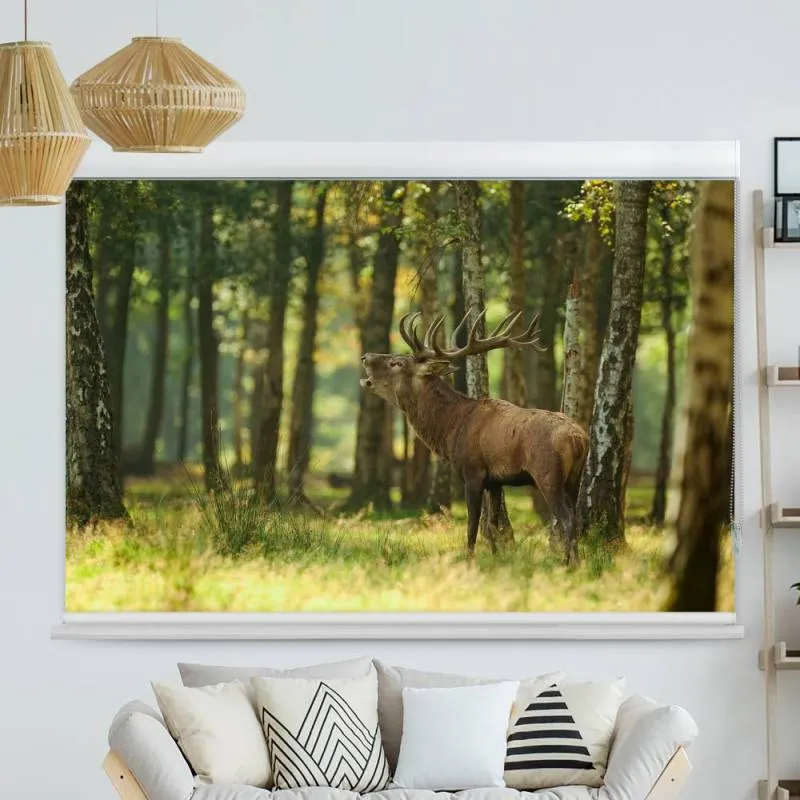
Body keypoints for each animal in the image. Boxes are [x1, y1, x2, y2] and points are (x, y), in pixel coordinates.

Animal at [359, 308, 589, 564]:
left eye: (396, 362)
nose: (365, 356)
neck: (450, 429)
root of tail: (579, 439)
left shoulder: (472, 472)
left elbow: (472, 525)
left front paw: (469, 559)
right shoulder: (496, 481)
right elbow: (492, 525)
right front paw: (497, 558)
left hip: (548, 474)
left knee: (567, 518)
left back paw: (569, 563)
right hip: (575, 478)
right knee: (576, 516)